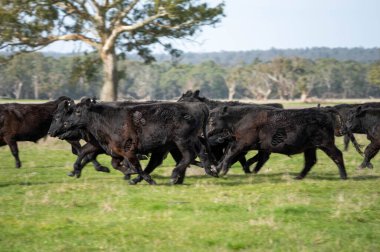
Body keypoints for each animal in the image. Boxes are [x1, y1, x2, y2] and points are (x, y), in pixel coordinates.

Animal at [58, 99, 214, 185]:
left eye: (78, 111)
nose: (65, 124)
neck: (108, 120)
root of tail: (199, 106)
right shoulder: (113, 150)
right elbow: (113, 163)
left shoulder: (128, 150)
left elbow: (136, 165)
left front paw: (147, 179)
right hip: (166, 146)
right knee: (156, 162)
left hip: (182, 141)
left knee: (189, 156)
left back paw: (174, 176)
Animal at [208, 106, 354, 179]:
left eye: (211, 120)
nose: (207, 133)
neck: (241, 119)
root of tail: (322, 111)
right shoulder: (247, 146)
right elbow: (233, 156)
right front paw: (216, 169)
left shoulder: (242, 144)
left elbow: (230, 155)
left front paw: (221, 170)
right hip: (310, 147)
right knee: (310, 161)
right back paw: (299, 177)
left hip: (326, 144)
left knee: (337, 155)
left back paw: (343, 176)